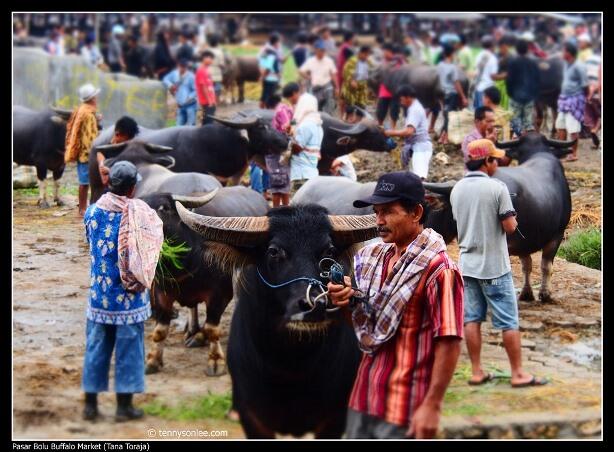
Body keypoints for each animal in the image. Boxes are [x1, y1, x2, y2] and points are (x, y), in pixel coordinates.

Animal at [144, 185, 272, 376]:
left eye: (163, 208)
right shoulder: (161, 294)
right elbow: (160, 331)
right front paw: (153, 360)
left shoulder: (220, 294)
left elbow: (212, 328)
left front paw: (216, 361)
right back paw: (193, 333)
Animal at [177, 204, 380, 438]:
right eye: (274, 251)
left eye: (329, 251)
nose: (314, 304)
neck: (291, 367)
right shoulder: (253, 418)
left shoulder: (334, 419)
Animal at [426, 132, 576, 304]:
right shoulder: (556, 234)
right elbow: (544, 265)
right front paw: (544, 294)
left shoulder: (531, 239)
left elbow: (529, 265)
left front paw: (527, 293)